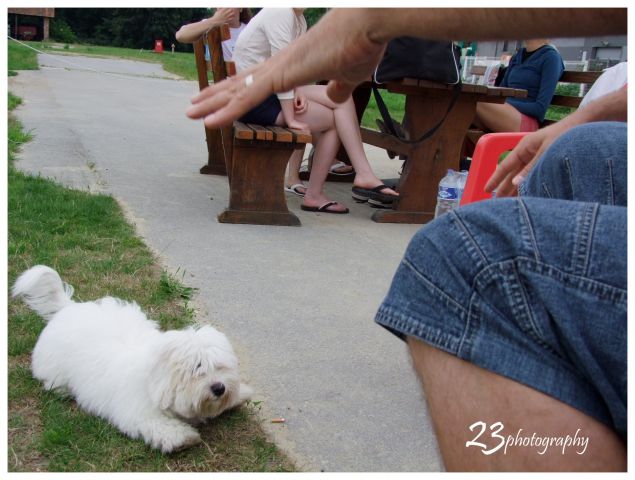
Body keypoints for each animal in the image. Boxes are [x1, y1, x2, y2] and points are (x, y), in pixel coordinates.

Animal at [12, 264, 251, 452]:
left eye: (220, 367)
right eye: (197, 369)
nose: (219, 388)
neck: (156, 380)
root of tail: (69, 307)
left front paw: (240, 394)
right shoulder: (138, 413)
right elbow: (159, 425)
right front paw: (183, 437)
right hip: (55, 369)